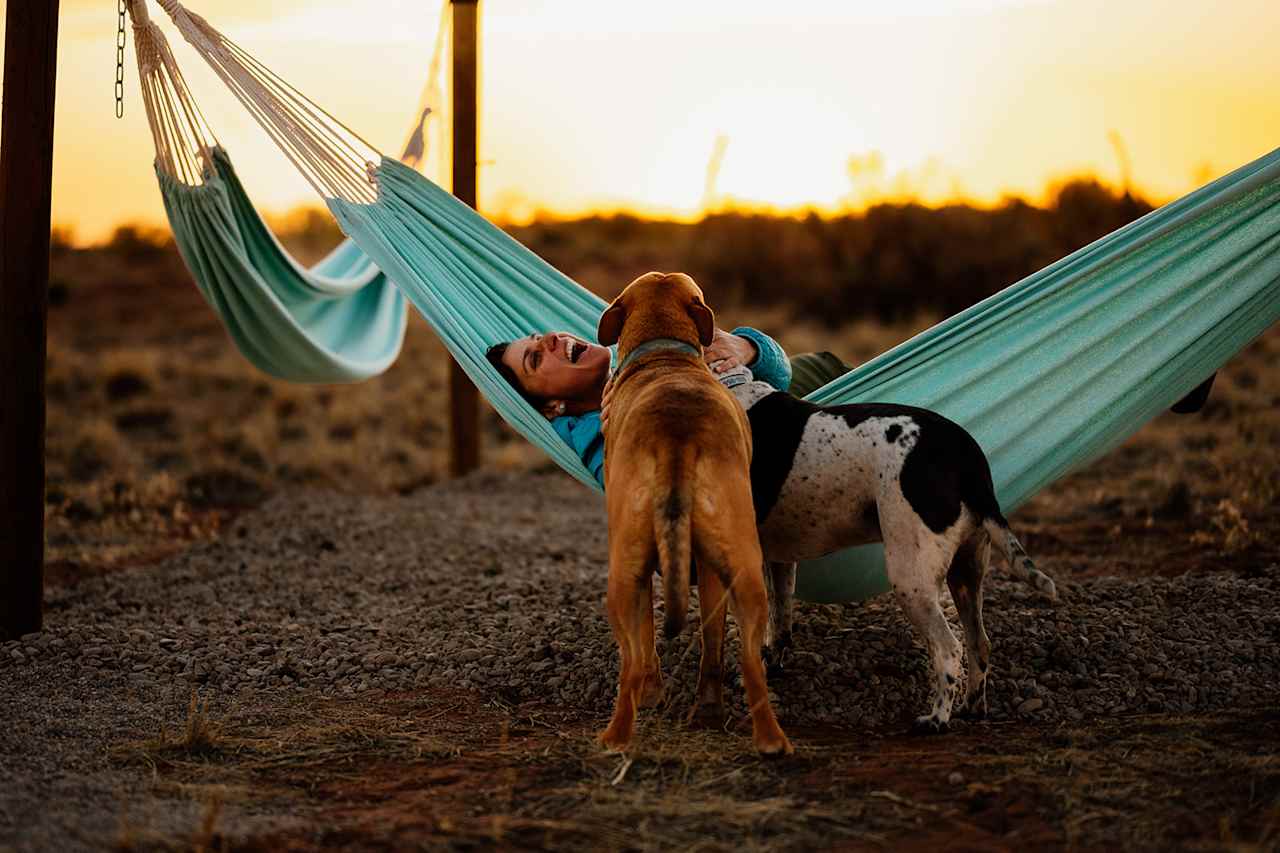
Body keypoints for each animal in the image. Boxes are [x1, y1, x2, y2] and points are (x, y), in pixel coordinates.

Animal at [591, 270, 788, 753]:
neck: (665, 352)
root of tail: (675, 436)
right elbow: (710, 644)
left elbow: (647, 644)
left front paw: (654, 694)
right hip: (743, 570)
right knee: (747, 662)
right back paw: (762, 736)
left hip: (626, 574)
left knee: (631, 662)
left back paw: (616, 736)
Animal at [721, 366, 1059, 732]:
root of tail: (967, 456)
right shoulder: (779, 559)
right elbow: (779, 624)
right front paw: (770, 668)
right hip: (965, 574)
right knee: (978, 644)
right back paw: (971, 707)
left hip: (911, 579)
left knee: (949, 648)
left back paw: (936, 719)